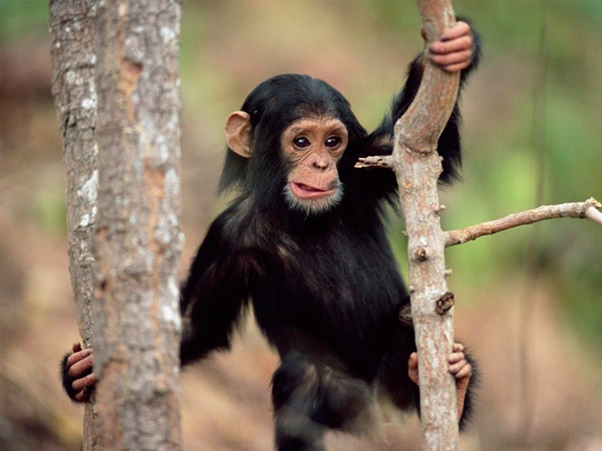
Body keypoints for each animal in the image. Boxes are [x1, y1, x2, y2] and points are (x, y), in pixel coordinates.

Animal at [63, 19, 480, 450]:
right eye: (302, 141)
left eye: (333, 142)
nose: (320, 163)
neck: (296, 216)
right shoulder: (227, 237)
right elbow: (196, 325)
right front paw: (78, 371)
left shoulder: (364, 167)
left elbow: (423, 145)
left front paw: (454, 48)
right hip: (353, 411)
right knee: (302, 376)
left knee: (408, 321)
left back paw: (455, 382)